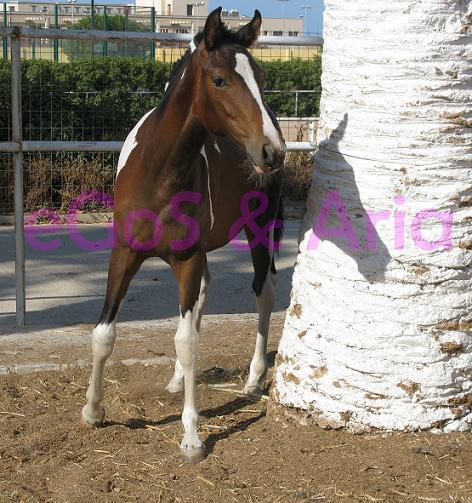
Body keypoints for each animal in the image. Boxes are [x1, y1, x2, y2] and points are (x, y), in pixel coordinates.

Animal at [81, 7, 286, 462]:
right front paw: (93, 410)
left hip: (258, 231)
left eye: (262, 77)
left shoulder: (188, 257)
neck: (159, 172)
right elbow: (104, 333)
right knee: (200, 302)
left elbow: (189, 343)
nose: (273, 151)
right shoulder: (125, 253)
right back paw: (177, 380)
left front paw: (191, 436)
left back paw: (253, 379)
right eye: (220, 79)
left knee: (263, 293)